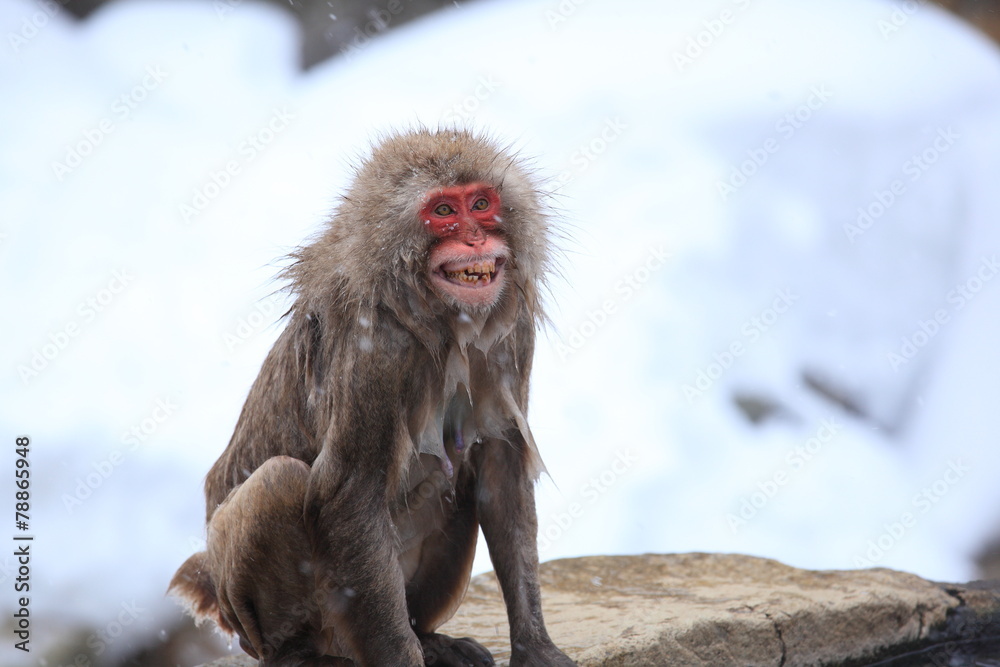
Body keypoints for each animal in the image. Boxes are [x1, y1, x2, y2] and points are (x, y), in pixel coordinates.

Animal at [169, 128, 577, 667]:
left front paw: (535, 646)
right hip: (280, 620)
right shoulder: (376, 349)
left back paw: (429, 638)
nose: (474, 237)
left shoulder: (514, 331)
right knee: (278, 482)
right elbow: (350, 493)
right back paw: (300, 652)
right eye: (443, 211)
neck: (436, 314)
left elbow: (500, 467)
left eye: (481, 203)